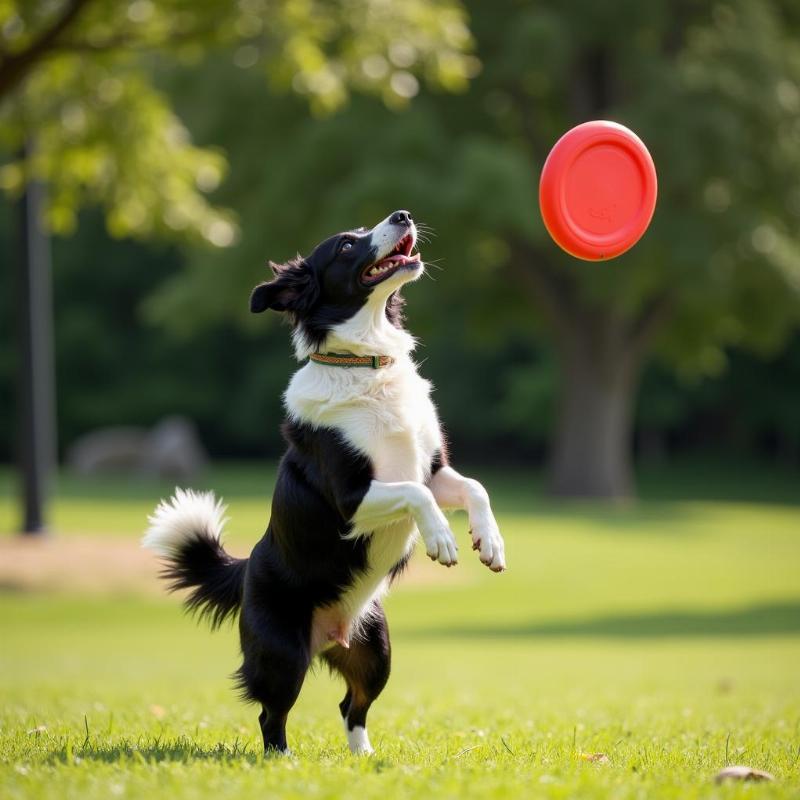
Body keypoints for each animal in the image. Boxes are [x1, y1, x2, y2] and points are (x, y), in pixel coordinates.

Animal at [142, 208, 506, 756]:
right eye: (345, 246)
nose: (403, 214)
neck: (366, 363)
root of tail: (245, 569)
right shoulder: (350, 499)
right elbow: (416, 495)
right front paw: (442, 539)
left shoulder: (433, 467)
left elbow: (473, 487)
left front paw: (490, 542)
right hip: (282, 655)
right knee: (271, 715)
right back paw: (283, 760)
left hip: (376, 648)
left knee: (350, 705)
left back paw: (364, 758)